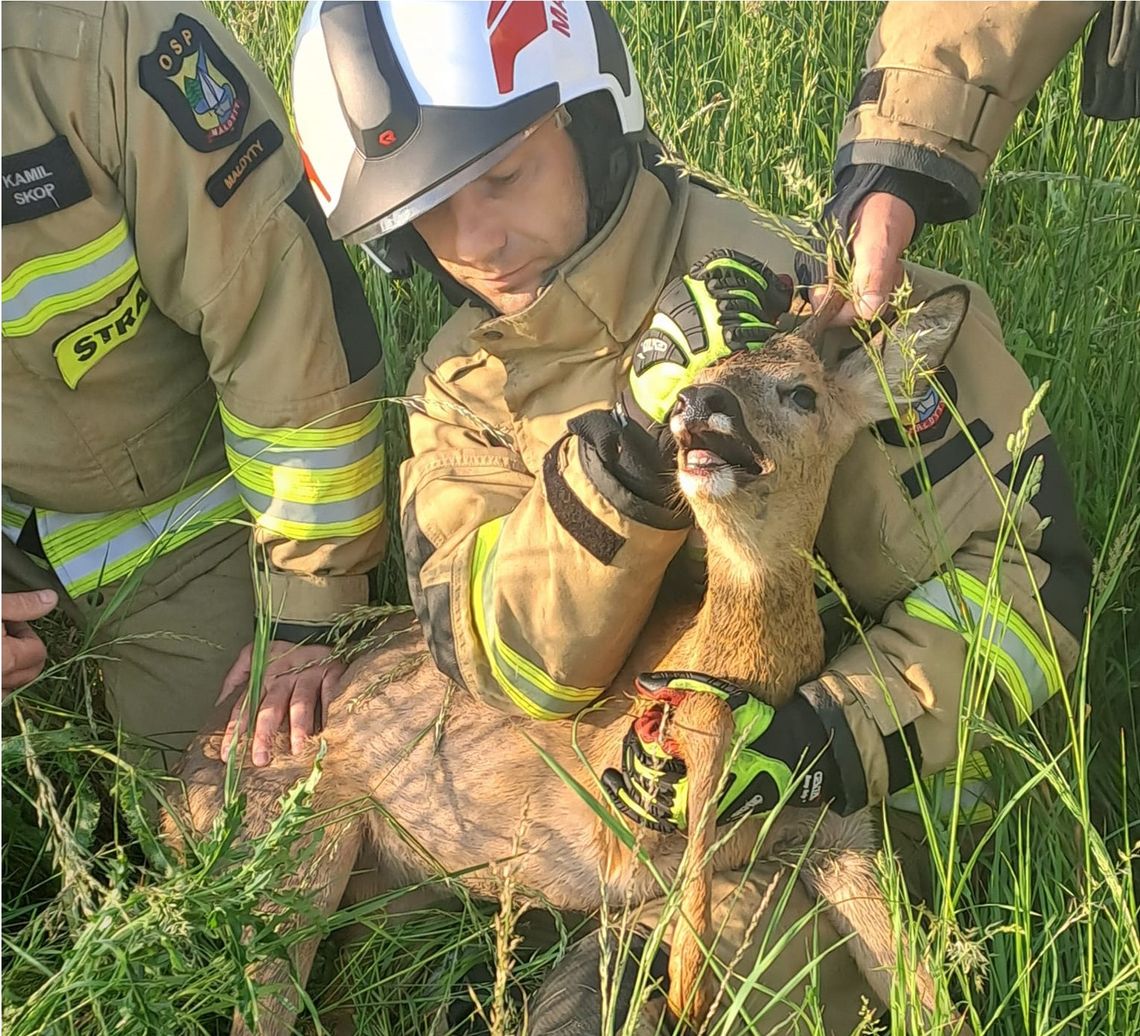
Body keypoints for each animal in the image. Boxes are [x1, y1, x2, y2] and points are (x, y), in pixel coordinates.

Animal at [166, 284, 971, 1034]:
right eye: (703, 368)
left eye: (803, 391)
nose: (697, 402)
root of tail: (181, 781)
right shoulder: (627, 835)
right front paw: (688, 985)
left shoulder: (839, 835)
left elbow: (930, 994)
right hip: (296, 845)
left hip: (382, 890)